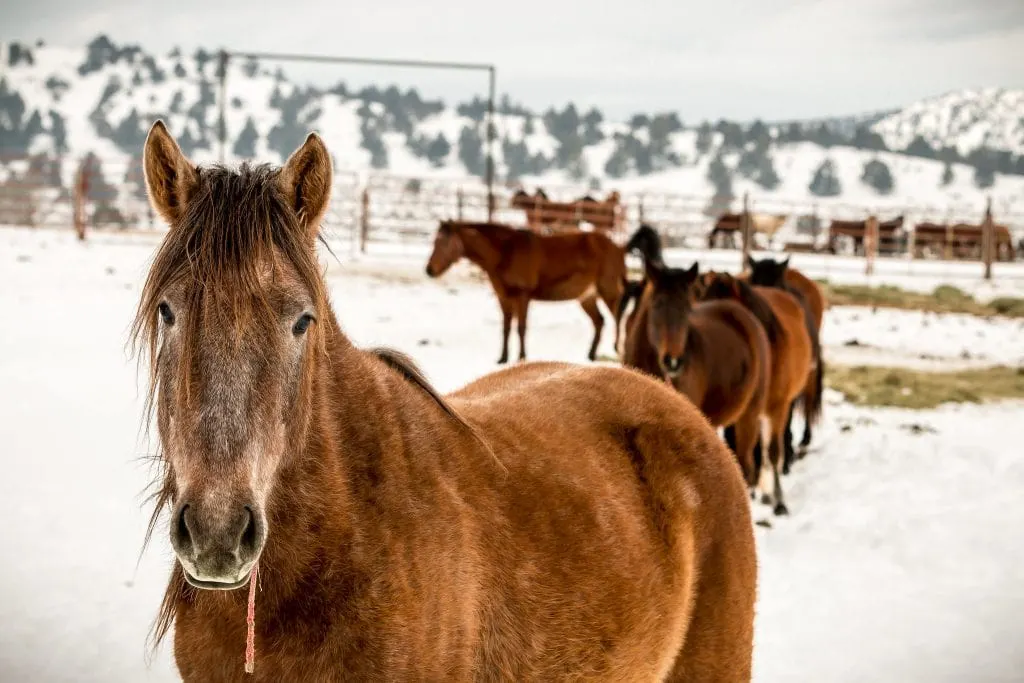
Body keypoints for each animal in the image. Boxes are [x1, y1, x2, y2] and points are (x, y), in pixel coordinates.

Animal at [428, 222, 626, 366]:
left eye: (445, 243)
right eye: (434, 242)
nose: (429, 270)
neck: (504, 253)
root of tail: (618, 248)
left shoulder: (522, 296)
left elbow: (521, 328)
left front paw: (521, 357)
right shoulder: (504, 297)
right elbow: (506, 328)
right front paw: (502, 358)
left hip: (608, 290)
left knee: (617, 317)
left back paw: (617, 349)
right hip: (587, 296)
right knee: (599, 321)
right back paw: (591, 355)